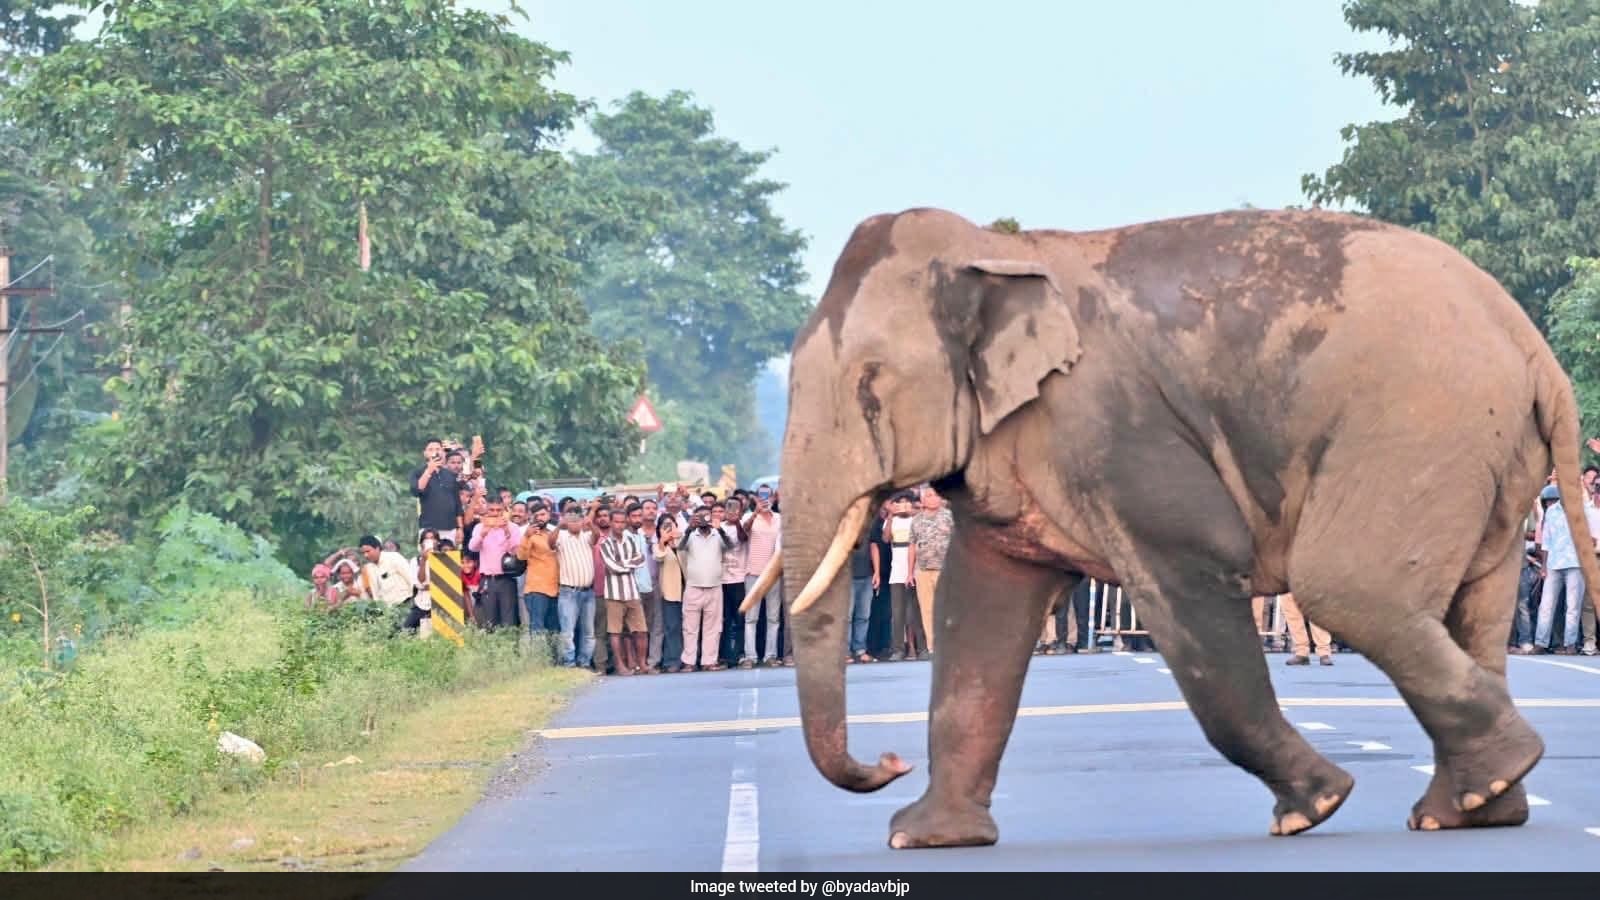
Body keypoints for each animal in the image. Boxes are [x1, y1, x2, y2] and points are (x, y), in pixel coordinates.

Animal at [739, 205, 1600, 849]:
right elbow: (979, 608)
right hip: (1484, 458)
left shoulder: (1112, 430)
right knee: (1468, 606)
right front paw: (923, 836)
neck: (1003, 249)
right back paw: (1476, 806)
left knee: (1346, 590)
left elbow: (1191, 575)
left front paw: (1313, 808)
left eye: (869, 384)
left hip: (1417, 429)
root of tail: (1533, 348)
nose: (884, 760)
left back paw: (1491, 776)